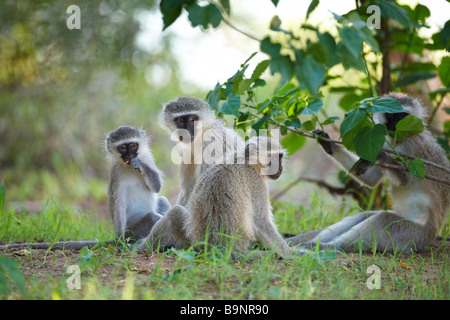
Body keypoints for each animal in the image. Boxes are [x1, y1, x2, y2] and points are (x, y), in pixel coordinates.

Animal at [286, 94, 448, 254]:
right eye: (391, 114)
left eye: (402, 115)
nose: (395, 126)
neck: (398, 141)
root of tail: (429, 238)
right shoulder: (383, 141)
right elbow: (372, 180)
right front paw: (328, 144)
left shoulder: (412, 147)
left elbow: (405, 179)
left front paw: (379, 156)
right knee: (364, 215)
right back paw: (299, 242)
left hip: (410, 237)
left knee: (383, 219)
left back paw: (326, 246)